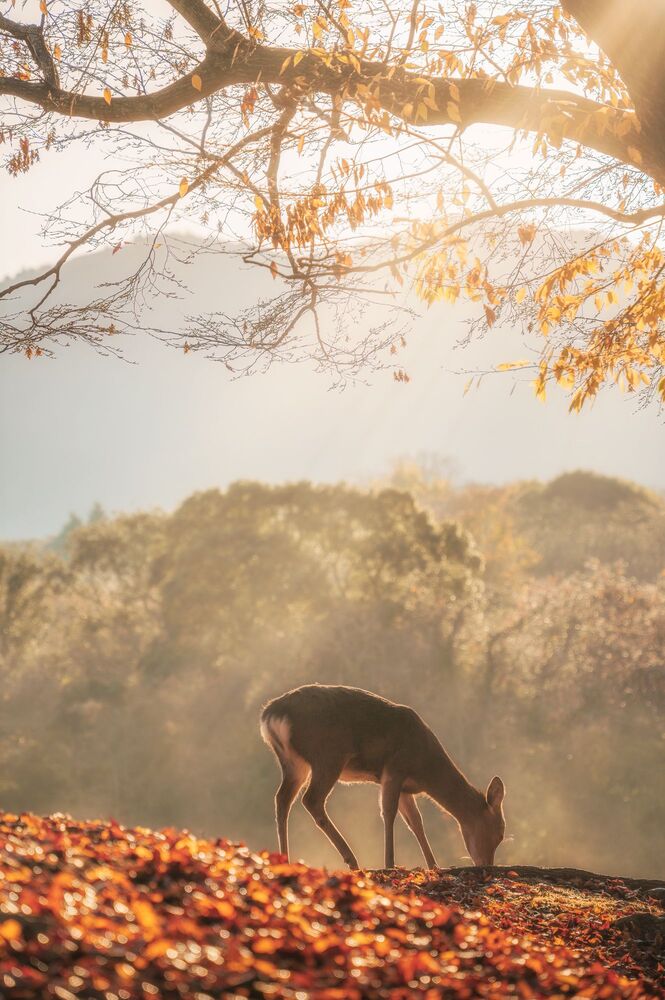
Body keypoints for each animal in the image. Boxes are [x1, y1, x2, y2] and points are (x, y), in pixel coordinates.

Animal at [260, 683, 506, 870]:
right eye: (500, 833)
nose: (487, 865)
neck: (424, 767)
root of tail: (270, 715)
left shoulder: (405, 787)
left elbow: (416, 822)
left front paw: (434, 865)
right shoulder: (395, 768)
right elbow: (389, 812)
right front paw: (390, 863)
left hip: (294, 763)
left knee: (282, 799)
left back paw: (284, 859)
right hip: (327, 756)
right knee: (311, 799)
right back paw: (351, 860)